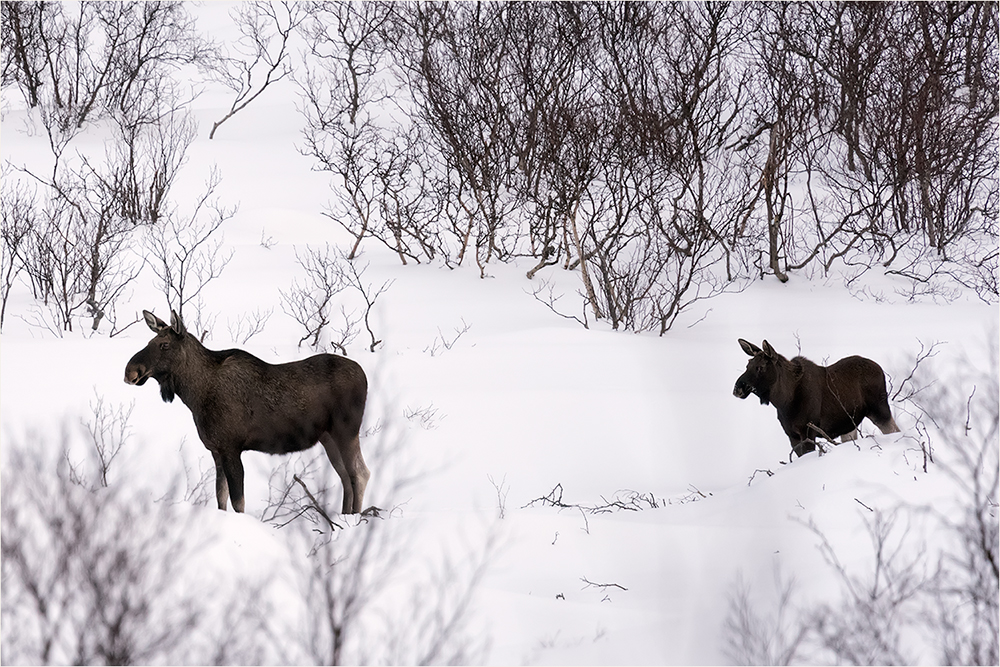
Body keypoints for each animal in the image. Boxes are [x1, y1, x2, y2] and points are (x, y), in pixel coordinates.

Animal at [123, 310, 370, 516]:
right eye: (150, 341)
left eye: (164, 345)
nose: (130, 371)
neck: (195, 394)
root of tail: (364, 375)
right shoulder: (216, 450)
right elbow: (220, 498)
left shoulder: (231, 447)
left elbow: (237, 502)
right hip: (328, 436)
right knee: (346, 476)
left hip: (346, 430)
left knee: (360, 473)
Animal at [732, 340, 904, 460]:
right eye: (748, 365)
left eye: (760, 367)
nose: (737, 388)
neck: (783, 401)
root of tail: (880, 369)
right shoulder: (792, 435)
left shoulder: (807, 431)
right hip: (850, 424)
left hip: (879, 409)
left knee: (895, 430)